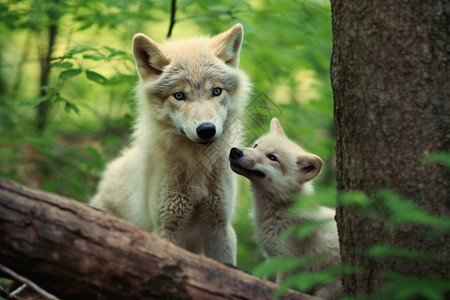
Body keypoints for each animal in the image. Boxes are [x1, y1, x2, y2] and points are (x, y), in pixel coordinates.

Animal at [92, 24, 251, 264]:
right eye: (179, 95)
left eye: (216, 91)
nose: (206, 129)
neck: (197, 165)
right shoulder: (169, 229)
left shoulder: (219, 228)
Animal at [229, 118, 342, 298]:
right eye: (255, 146)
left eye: (272, 158)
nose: (235, 151)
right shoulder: (273, 260)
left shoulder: (288, 265)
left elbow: (279, 290)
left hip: (326, 291)